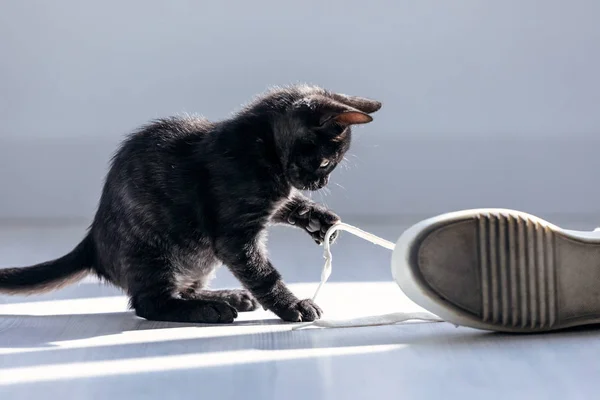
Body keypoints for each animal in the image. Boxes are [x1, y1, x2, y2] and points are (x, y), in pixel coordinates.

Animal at [0, 86, 382, 324]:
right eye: (325, 163)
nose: (321, 185)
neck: (262, 146)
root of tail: (93, 243)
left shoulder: (274, 202)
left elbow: (289, 205)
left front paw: (319, 220)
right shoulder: (235, 236)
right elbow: (263, 273)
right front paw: (293, 306)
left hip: (198, 259)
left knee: (184, 289)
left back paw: (225, 298)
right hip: (153, 251)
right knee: (150, 303)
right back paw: (209, 311)